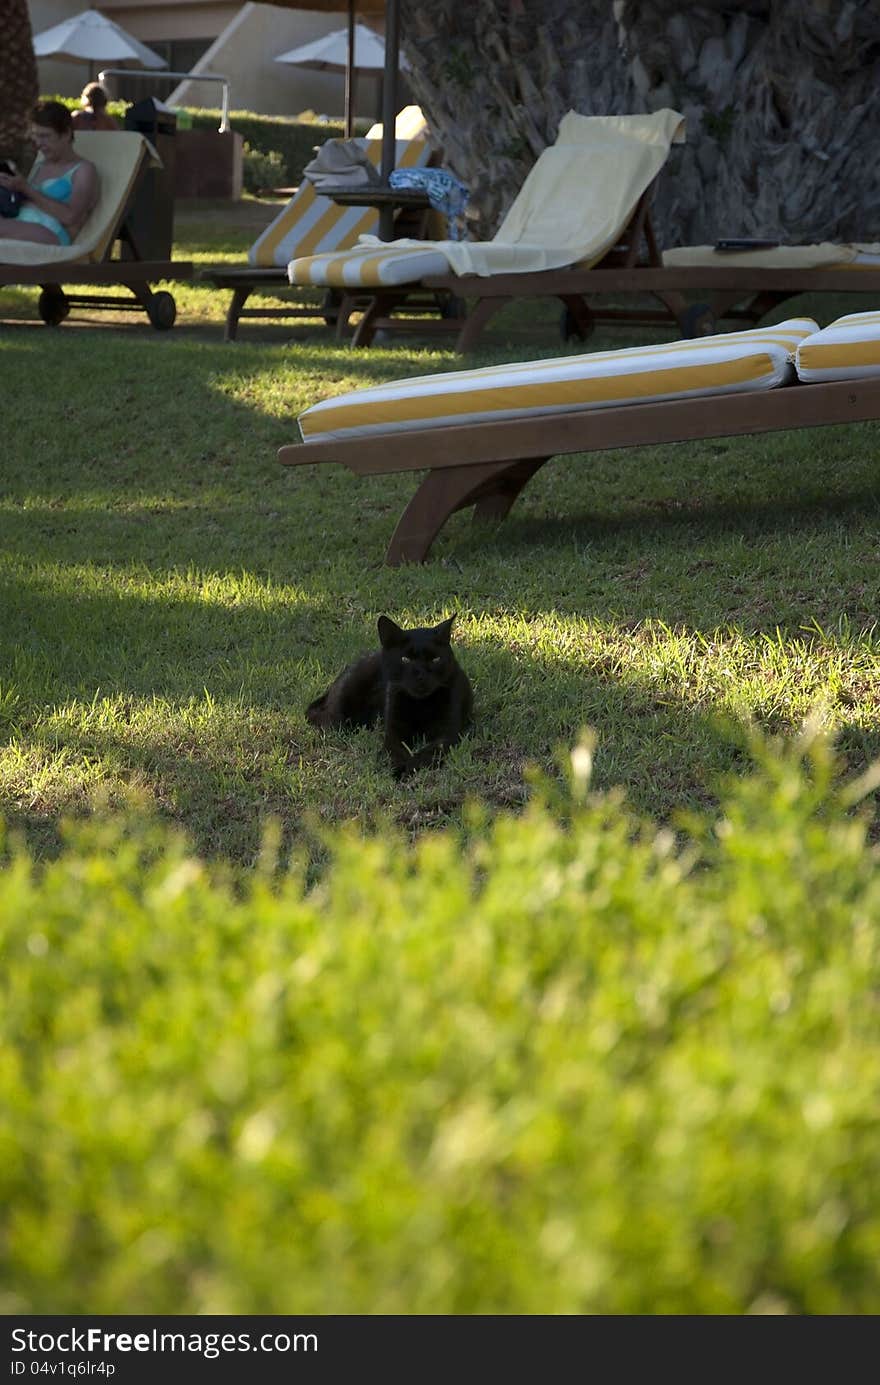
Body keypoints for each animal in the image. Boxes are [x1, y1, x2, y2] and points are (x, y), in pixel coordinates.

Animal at [310, 617, 473, 781]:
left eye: (435, 659)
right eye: (405, 659)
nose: (421, 675)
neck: (419, 705)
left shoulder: (447, 735)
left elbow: (428, 753)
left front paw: (411, 768)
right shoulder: (393, 732)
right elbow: (395, 752)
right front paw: (397, 770)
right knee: (327, 718)